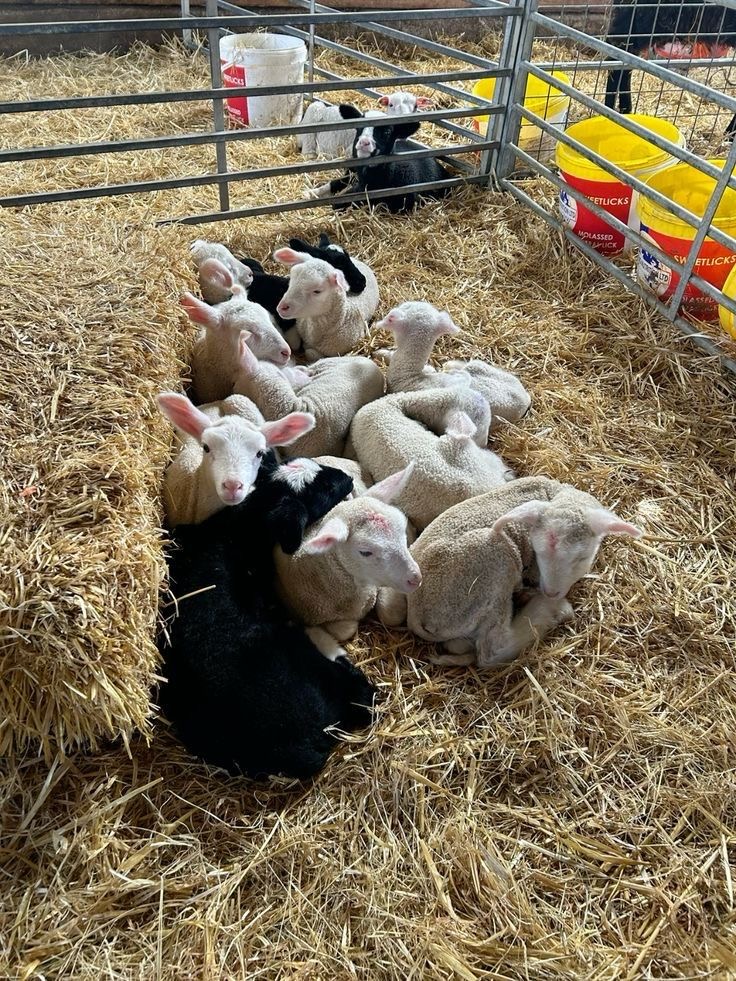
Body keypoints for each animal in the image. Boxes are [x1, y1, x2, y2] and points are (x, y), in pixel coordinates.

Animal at [377, 475, 642, 668]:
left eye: (582, 557)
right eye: (539, 551)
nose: (550, 591)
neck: (555, 493)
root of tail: (418, 615)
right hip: (492, 571)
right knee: (491, 651)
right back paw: (551, 610)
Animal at [605, 0, 736, 138]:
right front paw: (730, 135)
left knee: (623, 61)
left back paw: (623, 111)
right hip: (648, 18)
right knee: (615, 60)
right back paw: (613, 110)